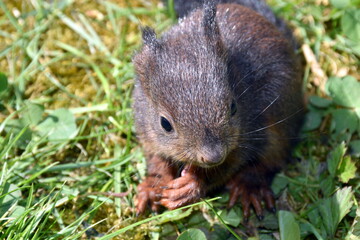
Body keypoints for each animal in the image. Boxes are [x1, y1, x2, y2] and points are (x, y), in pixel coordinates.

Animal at [132, 0, 304, 220]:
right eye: (165, 124)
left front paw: (193, 184)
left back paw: (248, 187)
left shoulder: (250, 128)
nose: (213, 156)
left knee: (270, 160)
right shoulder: (146, 130)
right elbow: (156, 158)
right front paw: (153, 185)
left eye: (233, 107)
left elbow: (232, 163)